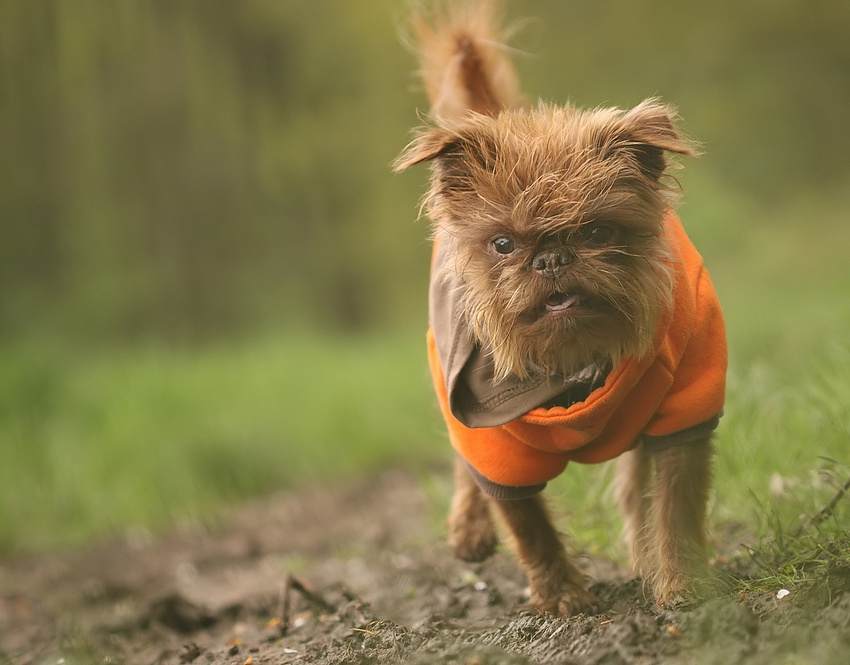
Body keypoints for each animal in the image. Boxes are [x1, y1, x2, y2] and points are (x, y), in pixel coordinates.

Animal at [394, 0, 724, 616]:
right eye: (502, 244)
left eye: (597, 232)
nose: (550, 258)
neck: (572, 358)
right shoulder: (493, 444)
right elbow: (528, 525)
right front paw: (563, 596)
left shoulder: (684, 415)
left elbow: (674, 504)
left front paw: (681, 582)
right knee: (463, 463)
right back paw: (470, 529)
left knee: (634, 488)